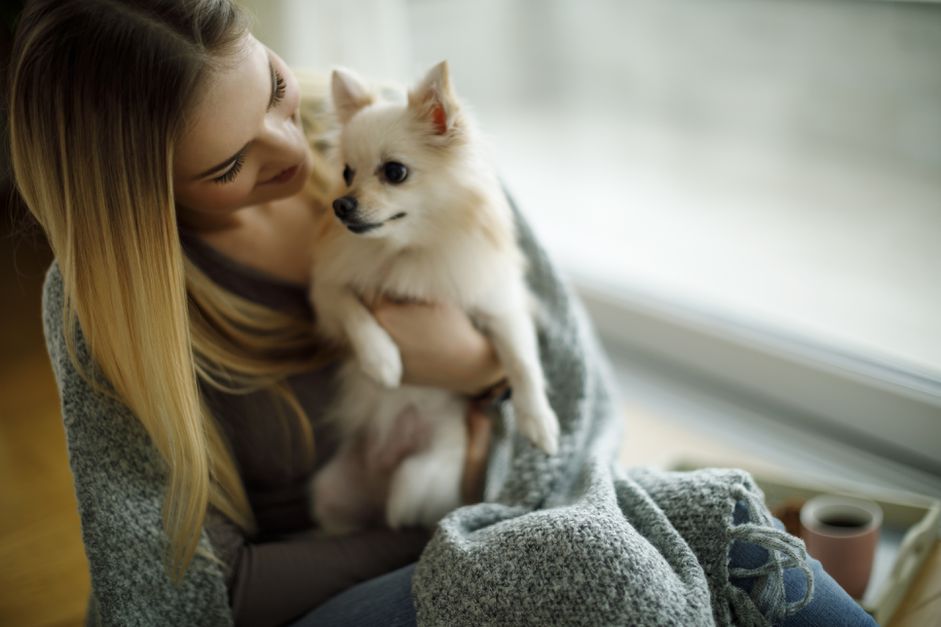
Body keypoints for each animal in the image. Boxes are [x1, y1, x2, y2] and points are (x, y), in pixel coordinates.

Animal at [308, 60, 560, 536]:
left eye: (394, 172)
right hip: (328, 494)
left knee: (405, 517)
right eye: (348, 172)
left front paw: (538, 421)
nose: (341, 205)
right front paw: (382, 359)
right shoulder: (327, 292)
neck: (406, 251)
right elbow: (353, 310)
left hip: (415, 477)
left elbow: (522, 361)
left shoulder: (500, 306)